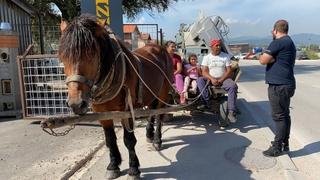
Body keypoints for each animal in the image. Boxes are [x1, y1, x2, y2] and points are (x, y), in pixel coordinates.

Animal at [57, 15, 172, 179]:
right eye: (62, 56)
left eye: (91, 55)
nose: (76, 104)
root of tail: (159, 48)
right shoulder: (101, 112)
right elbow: (110, 139)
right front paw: (113, 165)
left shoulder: (126, 111)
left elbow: (129, 140)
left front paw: (133, 168)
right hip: (151, 92)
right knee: (151, 111)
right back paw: (149, 135)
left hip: (163, 91)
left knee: (159, 114)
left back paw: (157, 139)